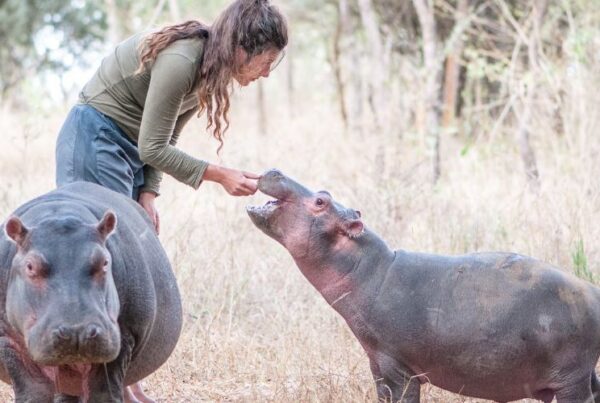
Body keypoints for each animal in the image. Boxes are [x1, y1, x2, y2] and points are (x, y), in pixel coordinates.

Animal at [0, 181, 180, 402]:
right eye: (30, 266)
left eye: (104, 262)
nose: (77, 331)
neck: (58, 215)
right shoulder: (8, 343)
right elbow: (34, 393)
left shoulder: (122, 341)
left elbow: (103, 394)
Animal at [245, 170, 600, 403]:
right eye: (325, 193)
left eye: (320, 201)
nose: (275, 170)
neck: (369, 269)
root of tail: (593, 290)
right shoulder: (377, 364)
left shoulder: (397, 367)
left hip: (570, 379)